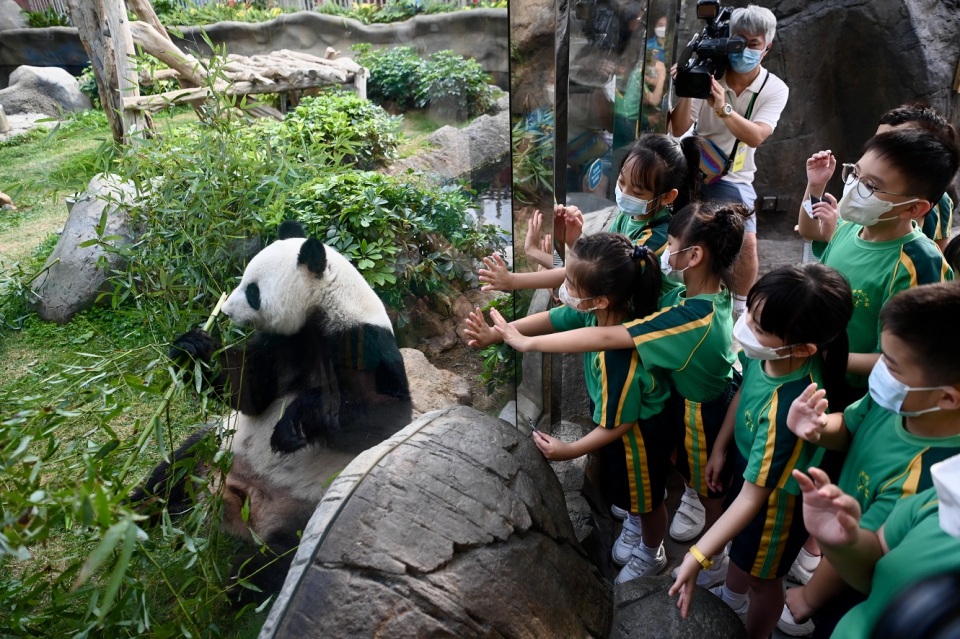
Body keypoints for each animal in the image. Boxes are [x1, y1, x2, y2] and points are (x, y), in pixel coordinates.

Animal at [132, 220, 412, 600]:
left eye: (252, 291)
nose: (225, 311)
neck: (323, 308)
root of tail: (240, 499)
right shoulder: (283, 342)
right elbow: (251, 393)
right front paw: (194, 348)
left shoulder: (363, 343)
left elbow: (387, 416)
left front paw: (293, 424)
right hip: (218, 445)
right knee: (174, 469)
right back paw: (132, 512)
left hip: (307, 511)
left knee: (278, 562)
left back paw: (229, 587)